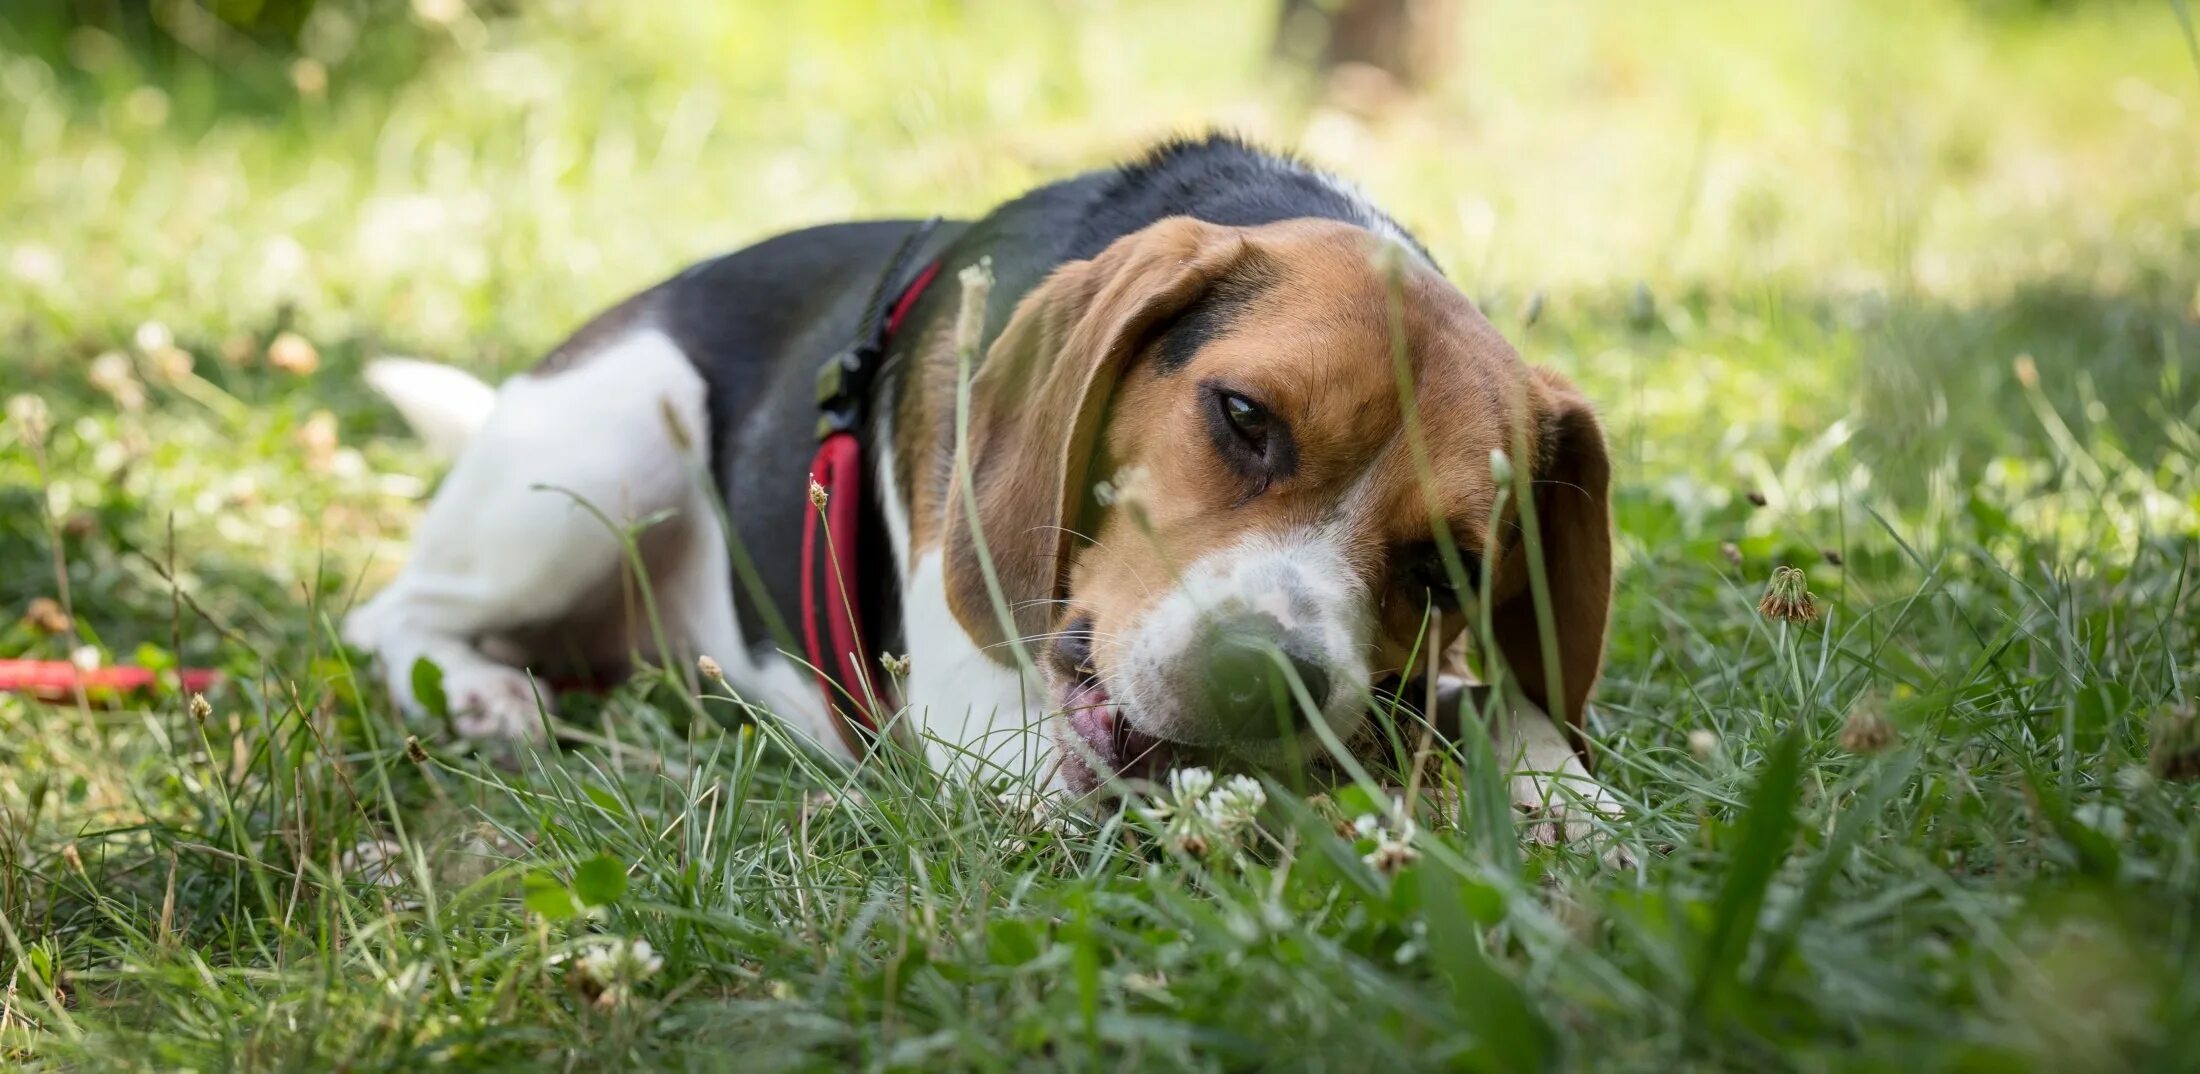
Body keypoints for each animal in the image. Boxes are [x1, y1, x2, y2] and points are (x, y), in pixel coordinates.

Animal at [343, 134, 1619, 836]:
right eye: (1244, 417)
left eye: (1448, 567)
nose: (1264, 684)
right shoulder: (976, 724)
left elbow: (1487, 706)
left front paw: (1577, 805)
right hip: (609, 446)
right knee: (391, 615)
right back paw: (480, 695)